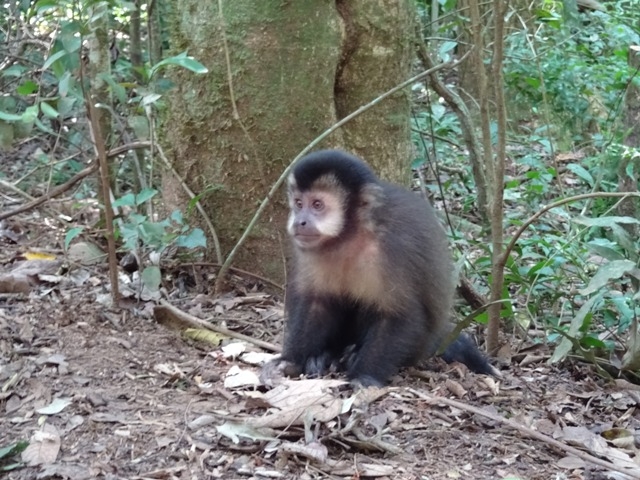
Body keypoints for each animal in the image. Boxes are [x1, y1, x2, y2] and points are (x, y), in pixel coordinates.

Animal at [264, 148, 496, 388]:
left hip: (418, 348)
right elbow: (316, 302)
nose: (299, 221)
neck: (351, 236)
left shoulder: (393, 249)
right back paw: (328, 355)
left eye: (317, 205)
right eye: (299, 204)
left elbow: (401, 315)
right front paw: (290, 360)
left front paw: (363, 375)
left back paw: (349, 354)